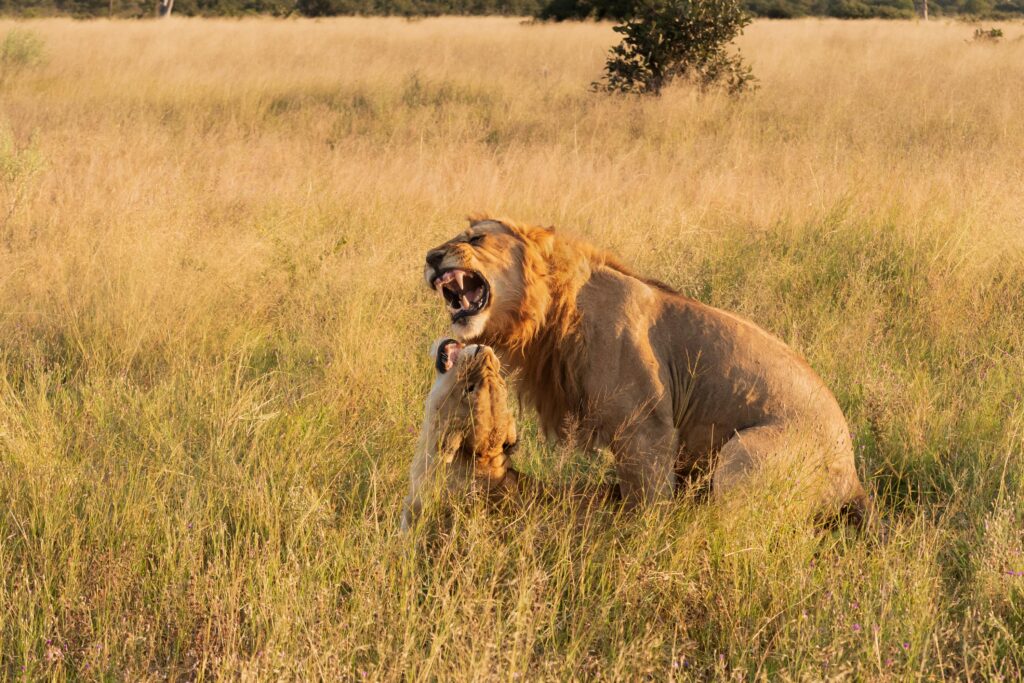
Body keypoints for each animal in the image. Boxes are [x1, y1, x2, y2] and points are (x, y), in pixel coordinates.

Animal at [423, 216, 870, 524]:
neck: (550, 312)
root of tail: (853, 479)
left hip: (743, 456)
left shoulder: (646, 430)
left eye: (476, 238)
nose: (430, 257)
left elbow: (649, 505)